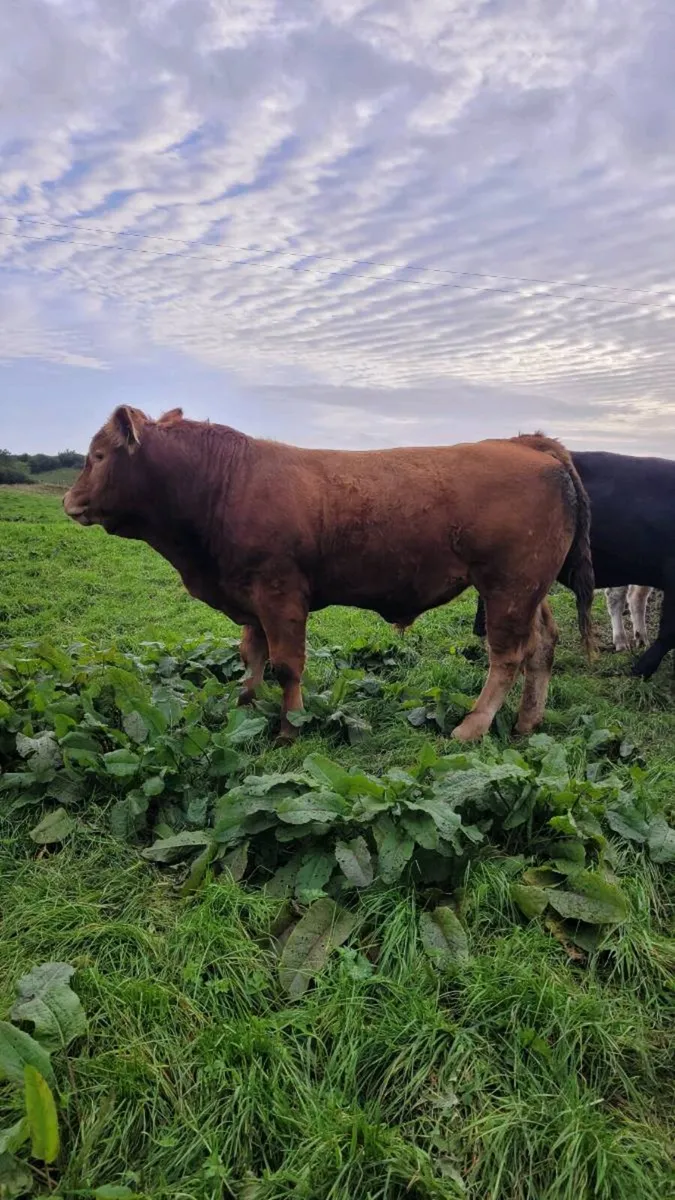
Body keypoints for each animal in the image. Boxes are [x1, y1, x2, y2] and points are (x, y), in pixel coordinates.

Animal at [63, 407, 594, 742]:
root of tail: (527, 444)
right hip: (529, 589)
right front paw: (243, 708)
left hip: (509, 586)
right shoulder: (249, 597)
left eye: (98, 455)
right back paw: (527, 722)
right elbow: (251, 656)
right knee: (542, 645)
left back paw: (472, 726)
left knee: (508, 655)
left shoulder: (280, 593)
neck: (223, 481)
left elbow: (285, 665)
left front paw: (289, 728)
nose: (68, 500)